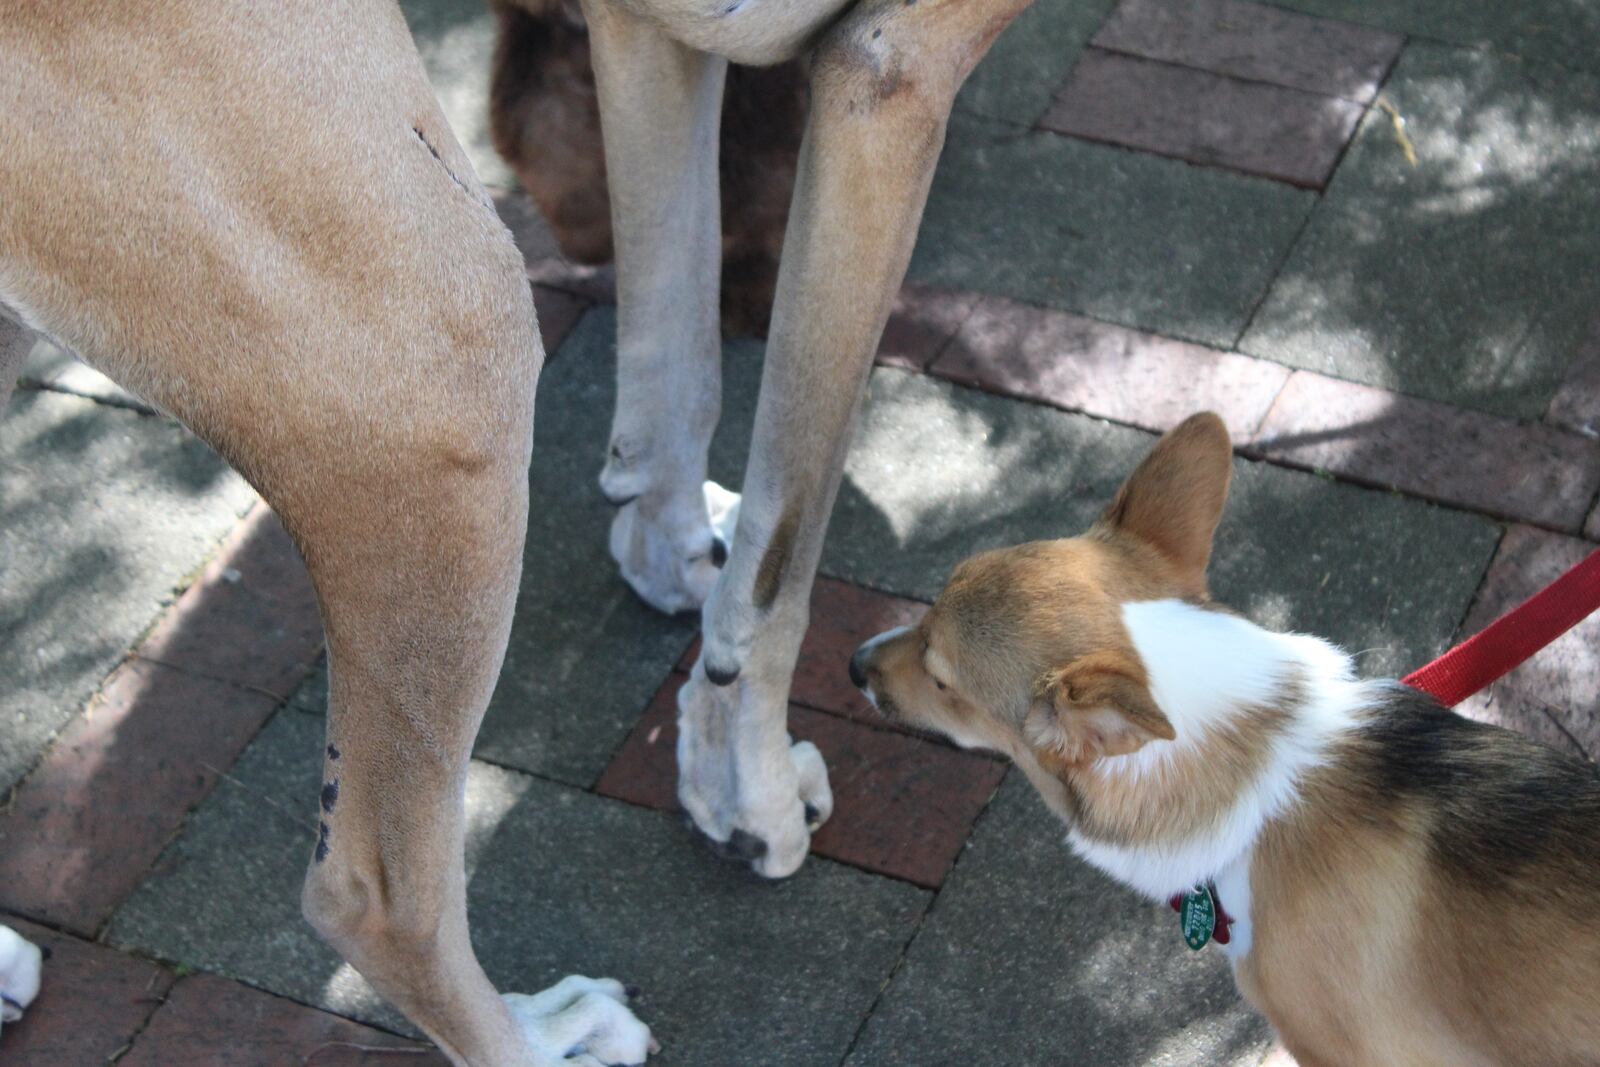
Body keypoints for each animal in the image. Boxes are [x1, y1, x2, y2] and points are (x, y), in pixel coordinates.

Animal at [0, 0, 1036, 1062]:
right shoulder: (891, 82)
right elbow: (785, 549)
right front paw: (749, 787)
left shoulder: (641, 39)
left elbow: (678, 349)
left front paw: (674, 551)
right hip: (446, 360)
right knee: (372, 899)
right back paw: (546, 1036)